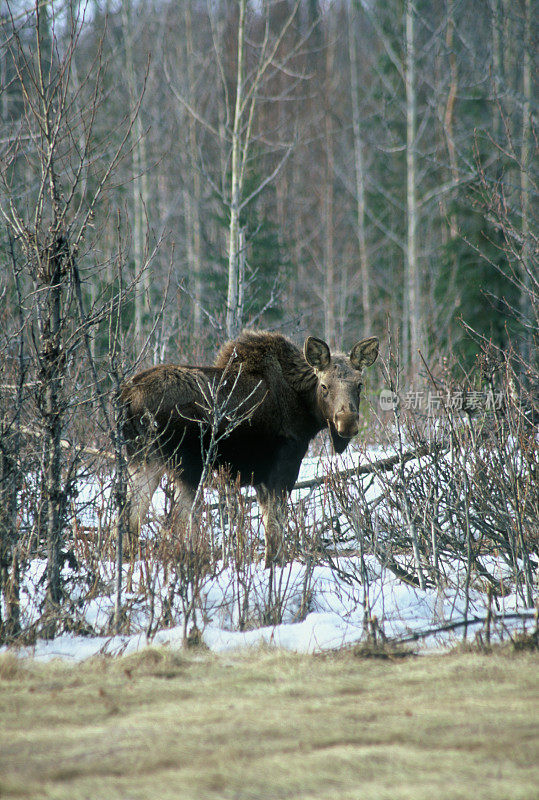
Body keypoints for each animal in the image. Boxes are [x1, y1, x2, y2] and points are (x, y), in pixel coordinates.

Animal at [119, 328, 380, 564]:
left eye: (359, 384)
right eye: (324, 385)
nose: (347, 423)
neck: (306, 412)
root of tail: (127, 397)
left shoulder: (260, 478)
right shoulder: (283, 467)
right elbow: (275, 533)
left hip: (143, 460)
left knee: (127, 520)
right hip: (187, 466)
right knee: (174, 524)